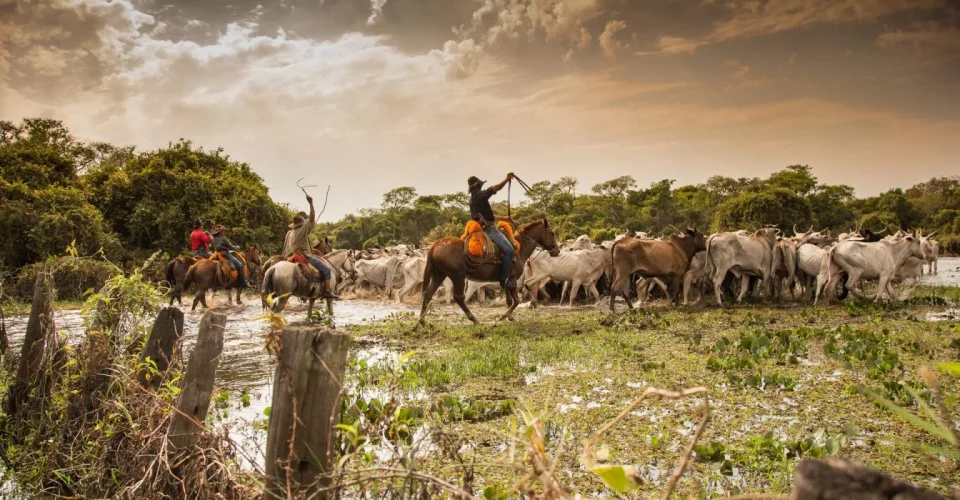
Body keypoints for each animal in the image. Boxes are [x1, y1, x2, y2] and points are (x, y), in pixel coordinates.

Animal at [414, 219, 564, 328]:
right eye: (552, 233)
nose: (557, 250)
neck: (519, 248)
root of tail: (435, 245)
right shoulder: (512, 279)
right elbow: (516, 301)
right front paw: (503, 317)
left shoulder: (506, 280)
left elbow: (509, 300)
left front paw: (509, 317)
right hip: (458, 276)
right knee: (458, 297)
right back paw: (474, 319)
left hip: (439, 275)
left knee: (428, 294)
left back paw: (422, 321)